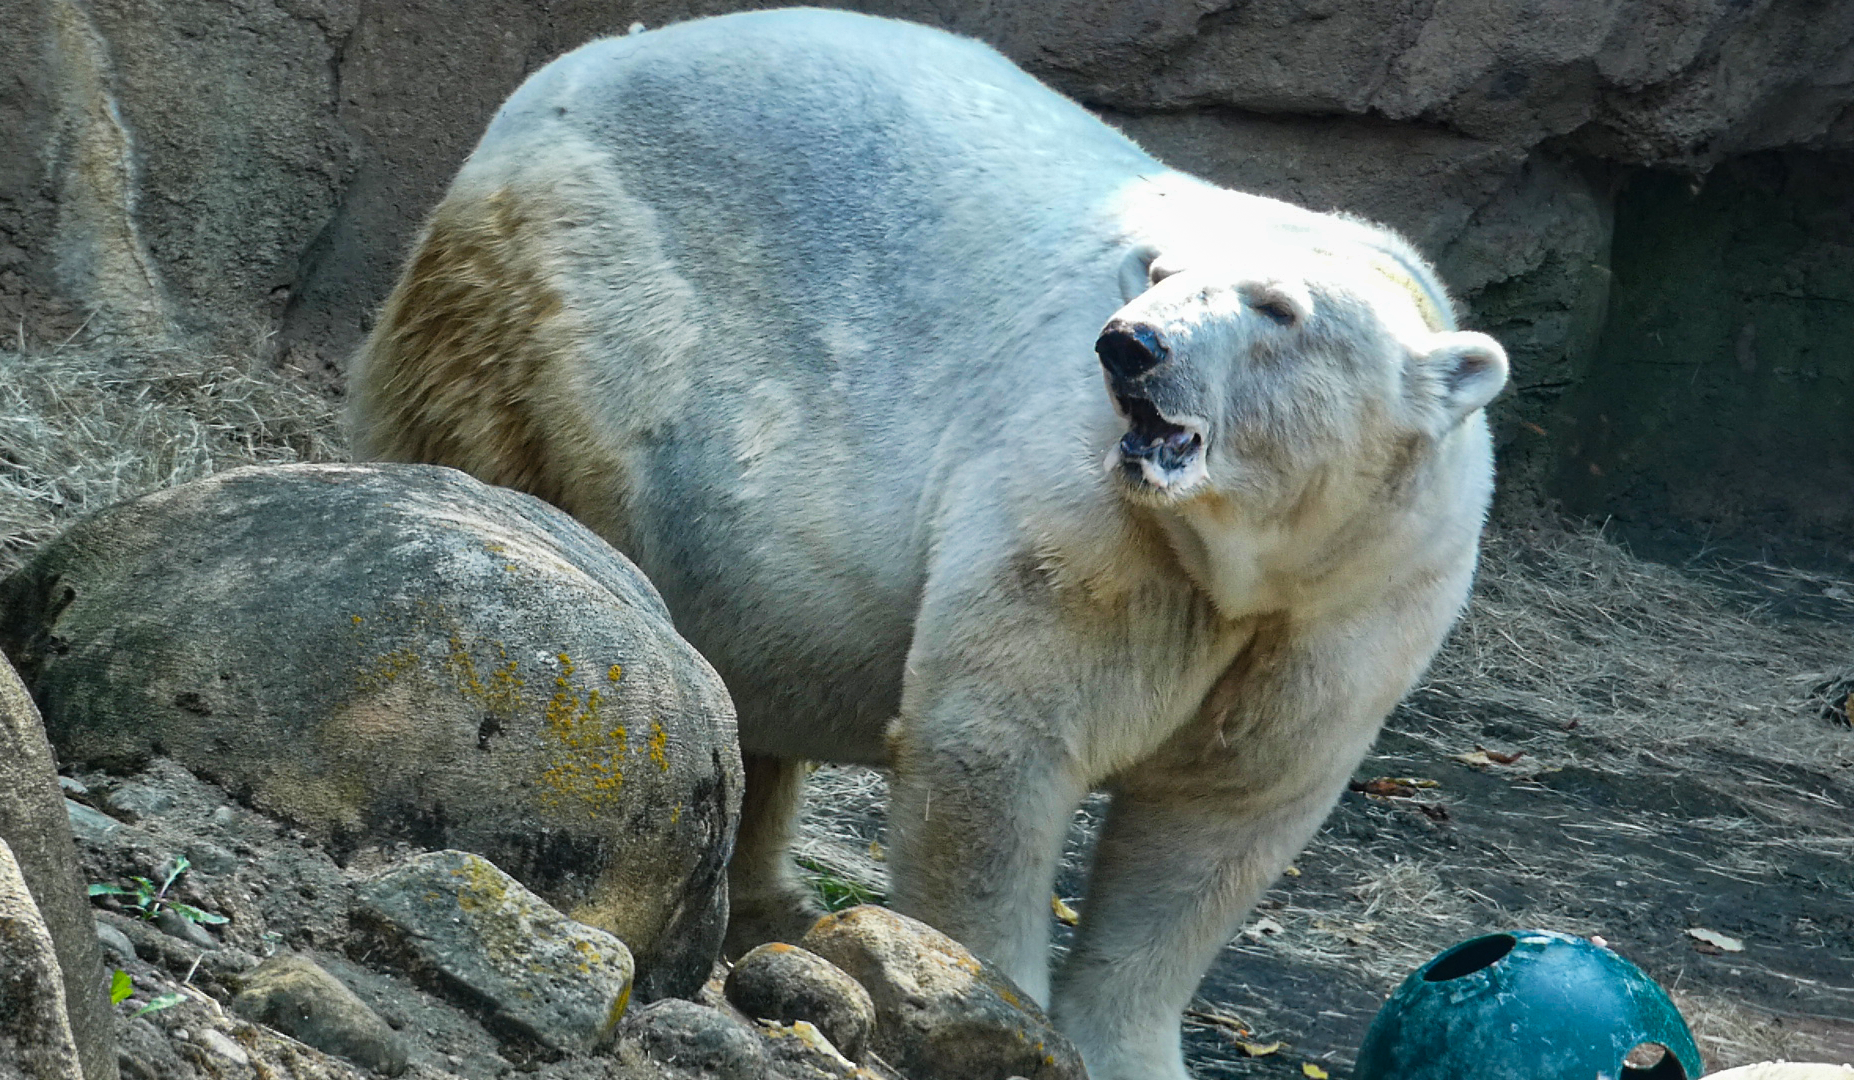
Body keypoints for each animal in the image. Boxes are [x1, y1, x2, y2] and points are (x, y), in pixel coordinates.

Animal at [348, 10, 1508, 1079]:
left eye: (1278, 308)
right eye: (1159, 272)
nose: (1130, 345)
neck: (1240, 558)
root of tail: (568, 73)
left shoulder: (1355, 602)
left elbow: (1223, 817)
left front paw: (1133, 1048)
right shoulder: (1091, 522)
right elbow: (1000, 748)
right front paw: (1000, 1003)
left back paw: (768, 902)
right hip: (563, 322)